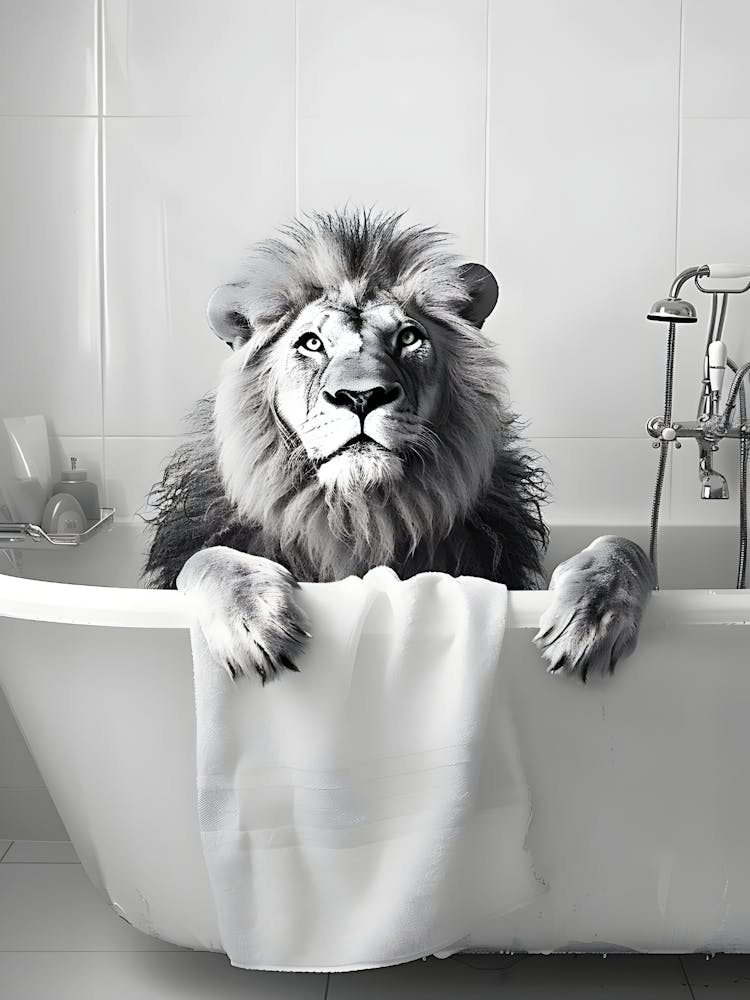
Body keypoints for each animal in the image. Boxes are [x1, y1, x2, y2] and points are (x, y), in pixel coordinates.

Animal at [143, 209, 655, 684]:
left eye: (408, 337)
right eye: (311, 343)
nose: (361, 396)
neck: (362, 516)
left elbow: (624, 546)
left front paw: (591, 617)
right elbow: (205, 558)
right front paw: (252, 620)